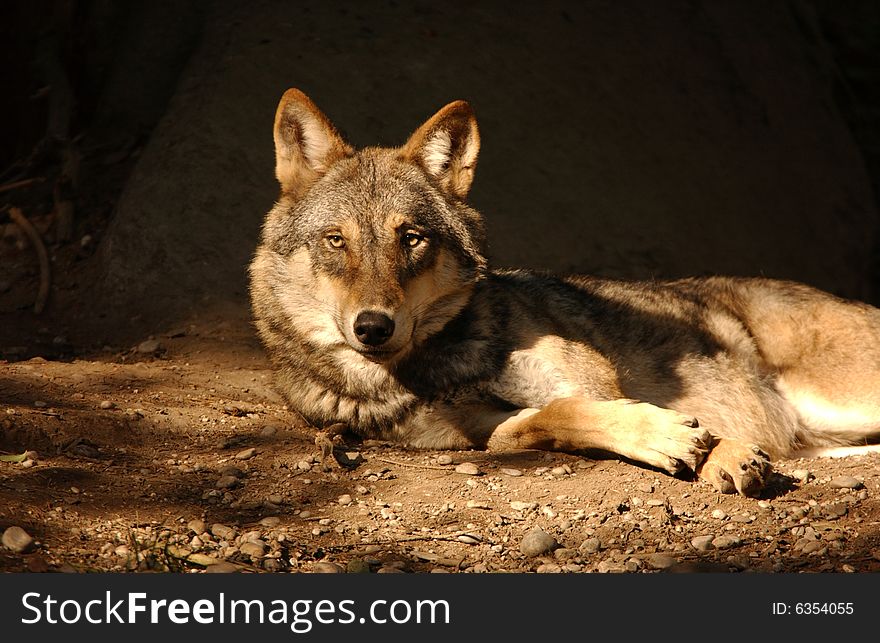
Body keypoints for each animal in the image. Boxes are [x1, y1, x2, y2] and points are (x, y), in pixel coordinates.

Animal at [248, 88, 880, 498]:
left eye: (412, 238)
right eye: (336, 240)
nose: (373, 327)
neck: (450, 362)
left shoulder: (596, 381)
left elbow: (592, 406)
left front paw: (714, 450)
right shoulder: (485, 434)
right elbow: (552, 417)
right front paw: (678, 441)